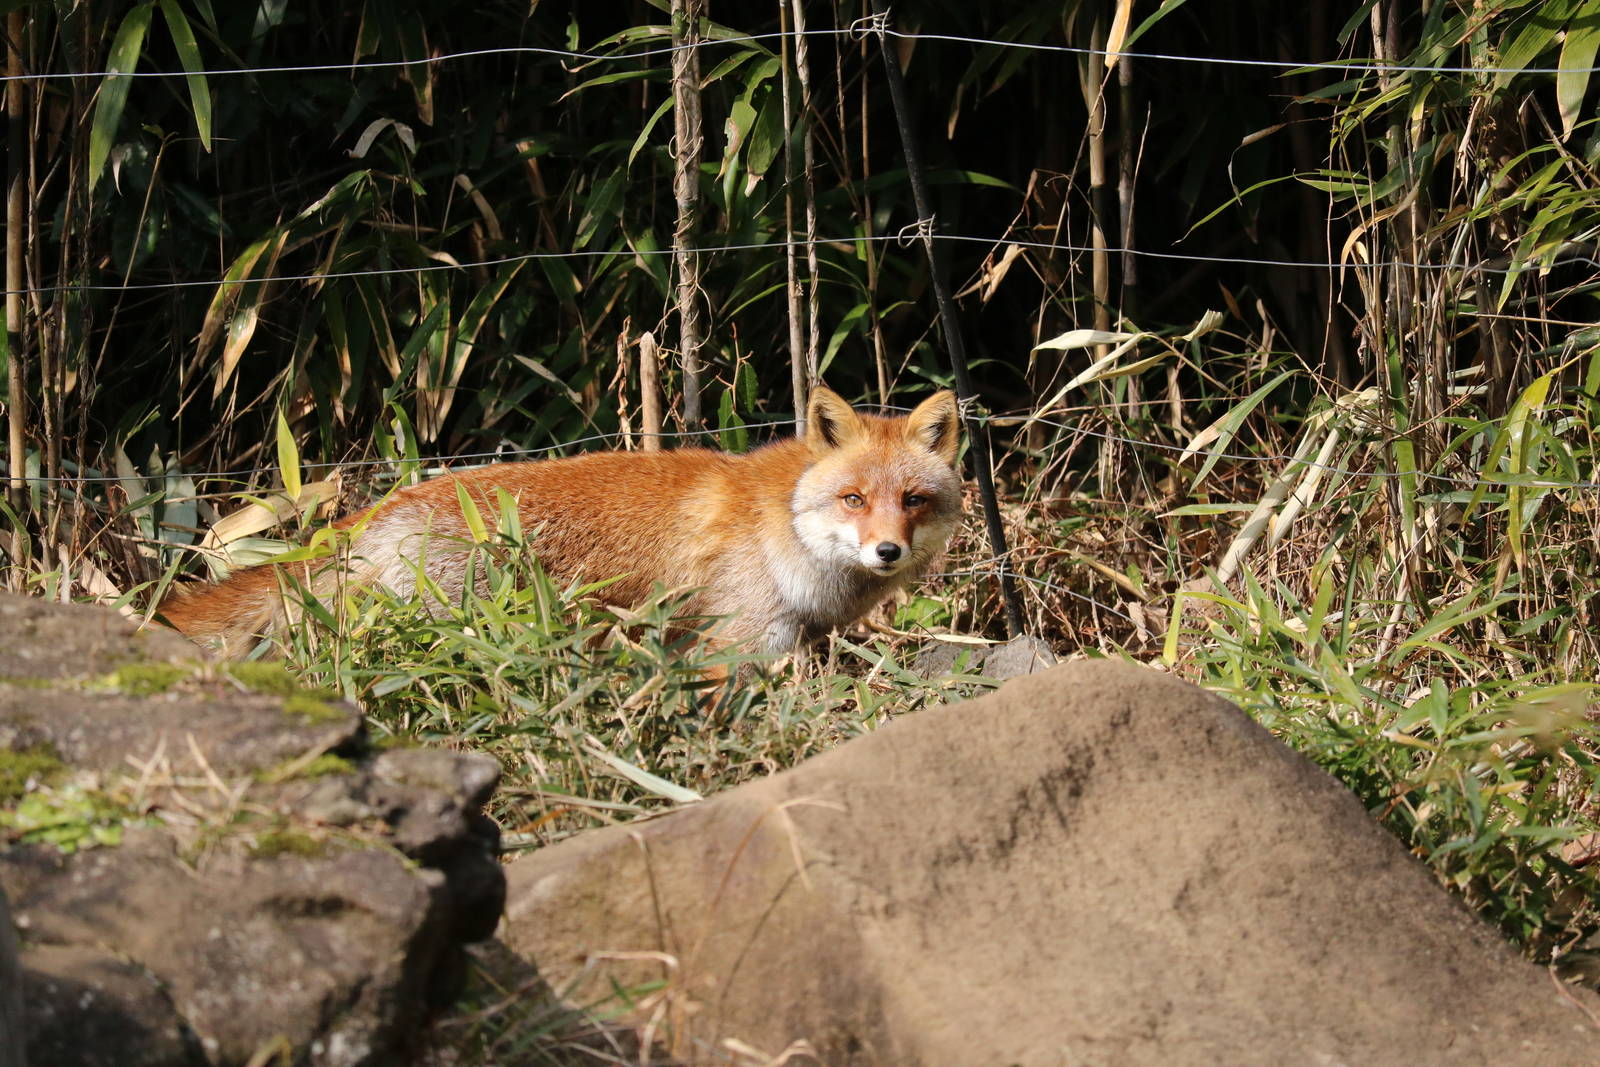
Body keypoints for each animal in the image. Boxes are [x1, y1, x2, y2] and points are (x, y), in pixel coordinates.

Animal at [155, 386, 964, 659]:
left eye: (912, 501)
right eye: (853, 499)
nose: (887, 551)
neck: (783, 527)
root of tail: (378, 509)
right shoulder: (736, 643)